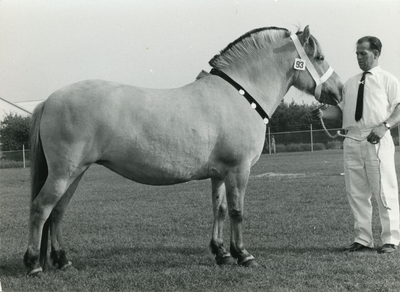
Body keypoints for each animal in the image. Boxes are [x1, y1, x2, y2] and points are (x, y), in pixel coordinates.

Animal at [24, 25, 344, 276]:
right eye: (319, 57)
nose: (340, 91)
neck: (239, 95)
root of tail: (49, 100)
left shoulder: (220, 173)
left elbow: (219, 209)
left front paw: (221, 253)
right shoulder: (239, 170)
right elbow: (237, 211)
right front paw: (243, 254)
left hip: (75, 173)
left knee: (58, 212)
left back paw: (63, 260)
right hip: (64, 173)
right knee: (42, 208)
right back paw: (34, 264)